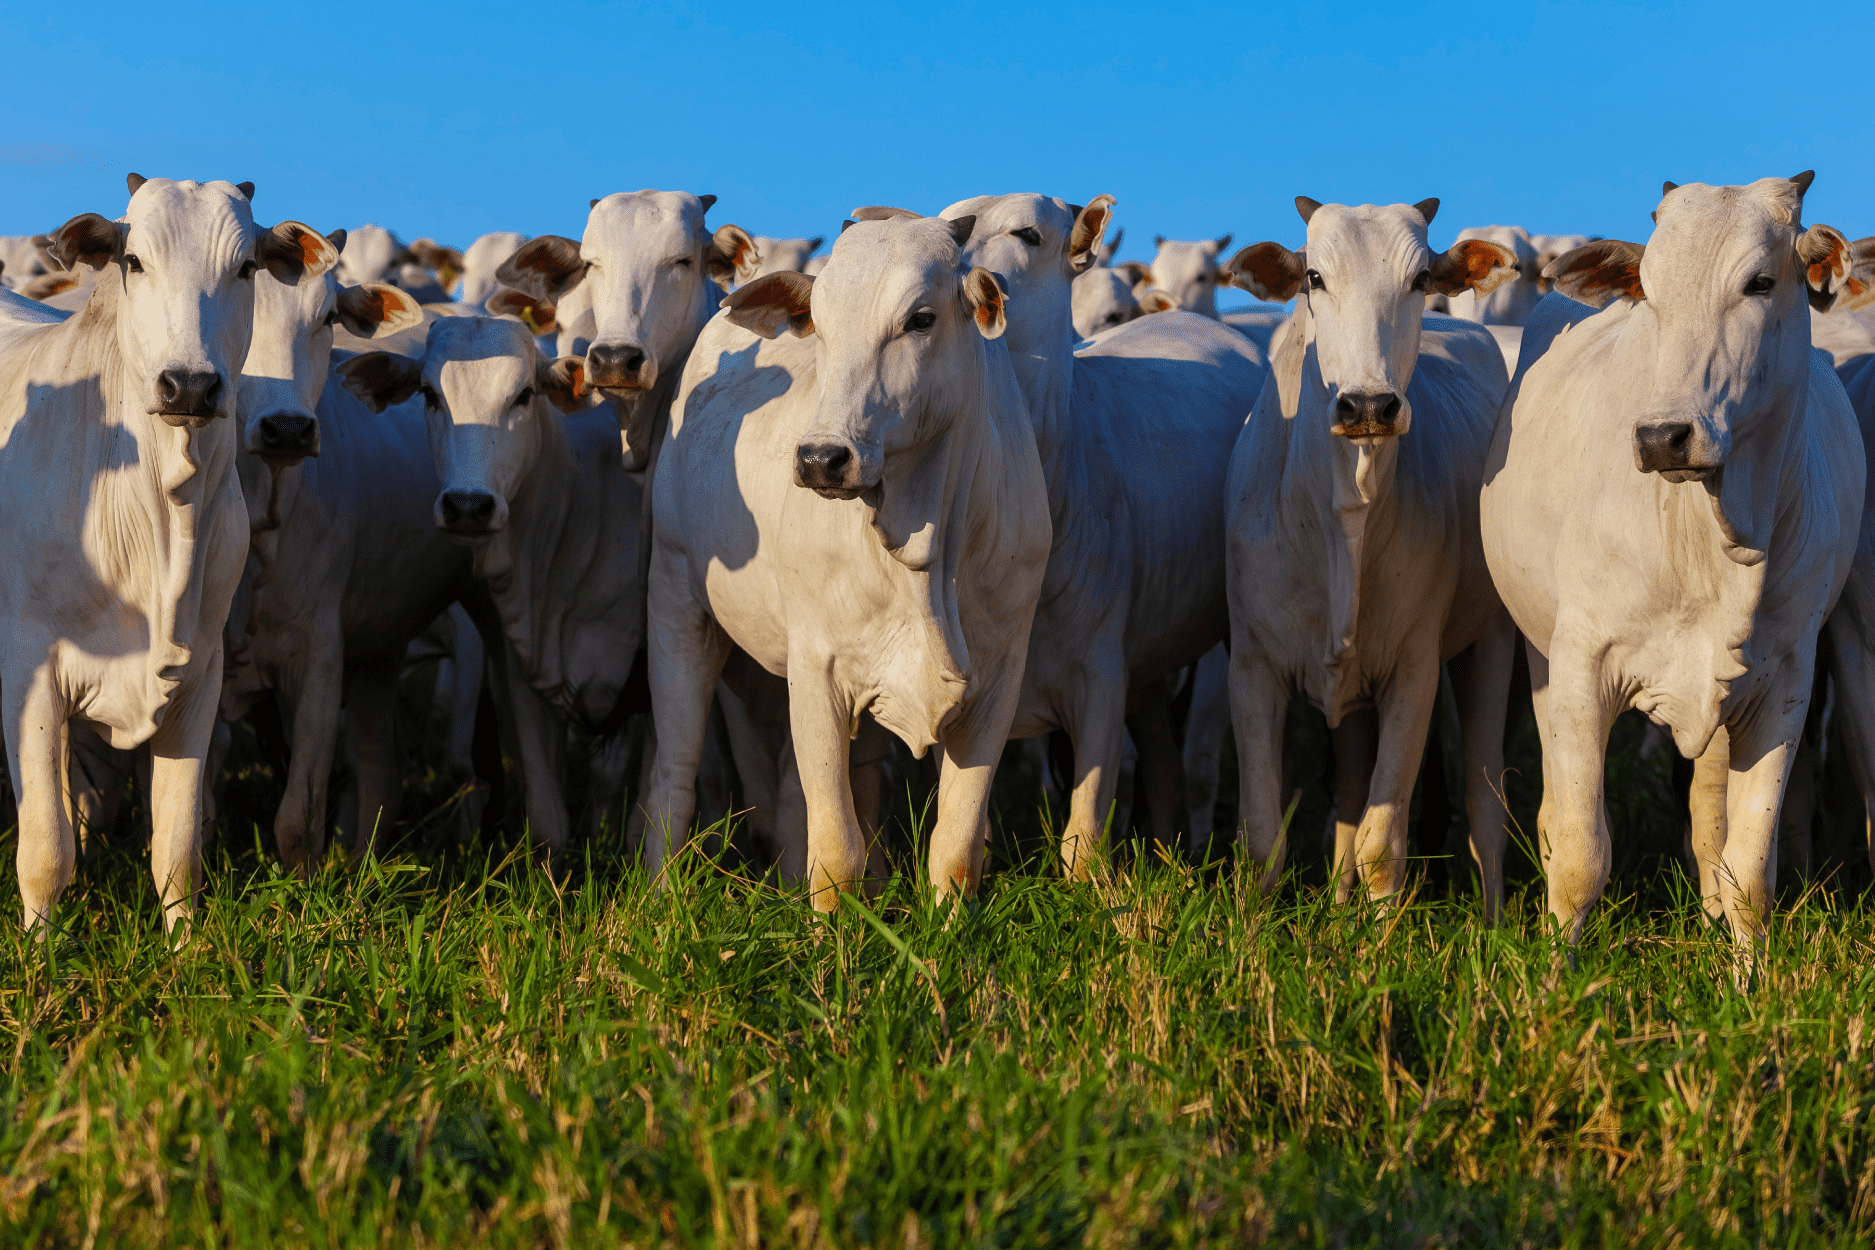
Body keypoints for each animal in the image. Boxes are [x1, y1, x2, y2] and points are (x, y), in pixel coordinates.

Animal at [0, 178, 333, 937]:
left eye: (246, 267)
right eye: (133, 261)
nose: (189, 385)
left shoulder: (199, 674)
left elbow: (178, 849)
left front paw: (188, 950)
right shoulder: (28, 669)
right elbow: (46, 848)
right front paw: (37, 955)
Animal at [645, 217, 1057, 910]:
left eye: (920, 319)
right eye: (819, 322)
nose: (820, 458)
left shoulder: (1000, 677)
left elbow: (956, 847)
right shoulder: (818, 670)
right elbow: (837, 851)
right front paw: (827, 933)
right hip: (676, 598)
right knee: (675, 768)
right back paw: (658, 893)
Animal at [1215, 200, 1522, 914]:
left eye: (1420, 279)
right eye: (1315, 277)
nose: (1369, 405)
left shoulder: (1413, 670)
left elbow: (1383, 847)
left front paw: (1378, 939)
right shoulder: (1252, 669)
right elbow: (1265, 840)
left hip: (1489, 644)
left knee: (1483, 802)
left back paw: (1494, 917)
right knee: (1350, 797)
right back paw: (1336, 906)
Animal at [1477, 171, 1860, 967]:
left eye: (1759, 282)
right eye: (1647, 291)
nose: (1662, 436)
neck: (1712, 543)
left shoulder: (1784, 684)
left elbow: (1746, 867)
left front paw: (1746, 979)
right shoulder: (1581, 666)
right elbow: (1580, 854)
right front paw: (1553, 980)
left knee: (1708, 819)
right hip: (1534, 653)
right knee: (1554, 817)